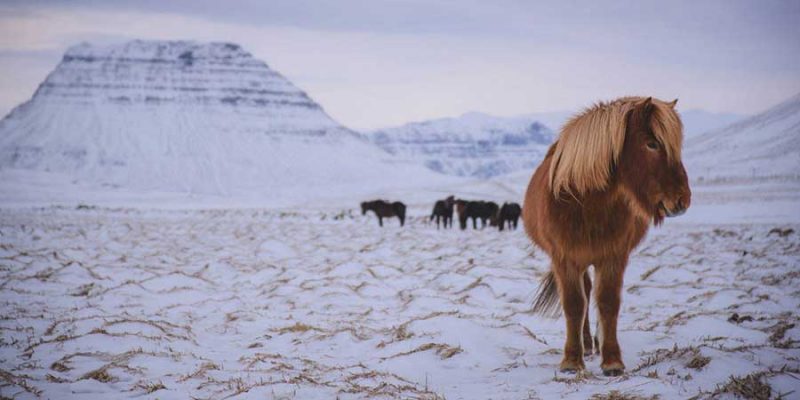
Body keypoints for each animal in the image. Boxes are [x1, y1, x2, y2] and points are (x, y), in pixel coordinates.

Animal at [523, 97, 690, 376]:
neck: (586, 203)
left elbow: (608, 302)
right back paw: (587, 343)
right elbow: (574, 304)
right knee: (586, 292)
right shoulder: (565, 259)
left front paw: (612, 360)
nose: (682, 200)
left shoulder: (613, 257)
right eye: (652, 143)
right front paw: (572, 360)